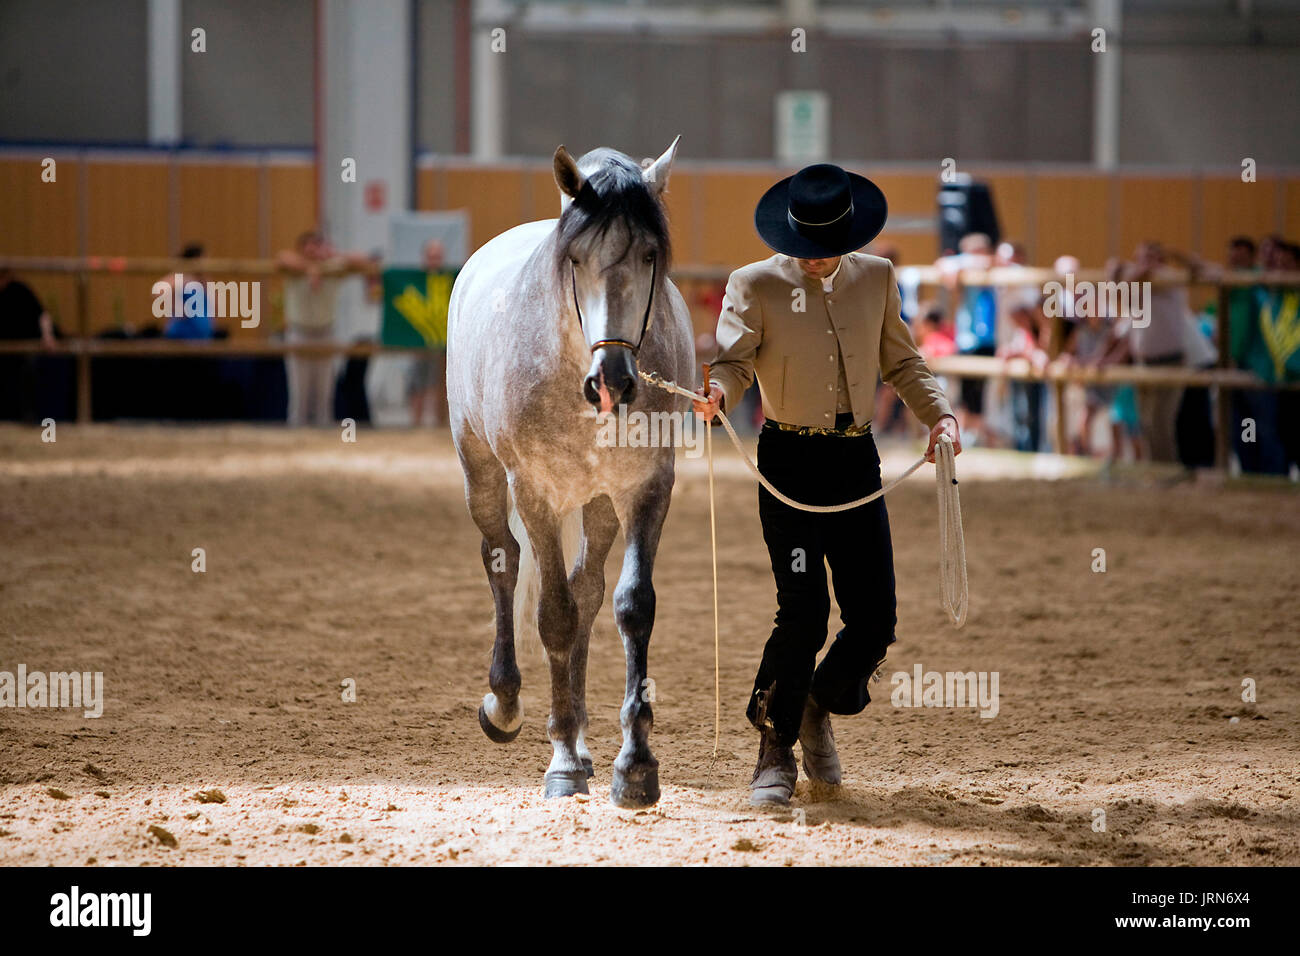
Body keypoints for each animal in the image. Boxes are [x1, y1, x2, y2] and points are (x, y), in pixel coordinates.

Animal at [444, 136, 691, 806]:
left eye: (650, 254)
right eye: (576, 259)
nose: (613, 381)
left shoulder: (647, 490)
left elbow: (632, 607)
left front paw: (635, 765)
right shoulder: (536, 492)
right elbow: (552, 614)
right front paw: (559, 761)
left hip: (600, 505)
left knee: (587, 591)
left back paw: (581, 742)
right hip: (481, 472)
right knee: (502, 561)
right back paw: (506, 706)